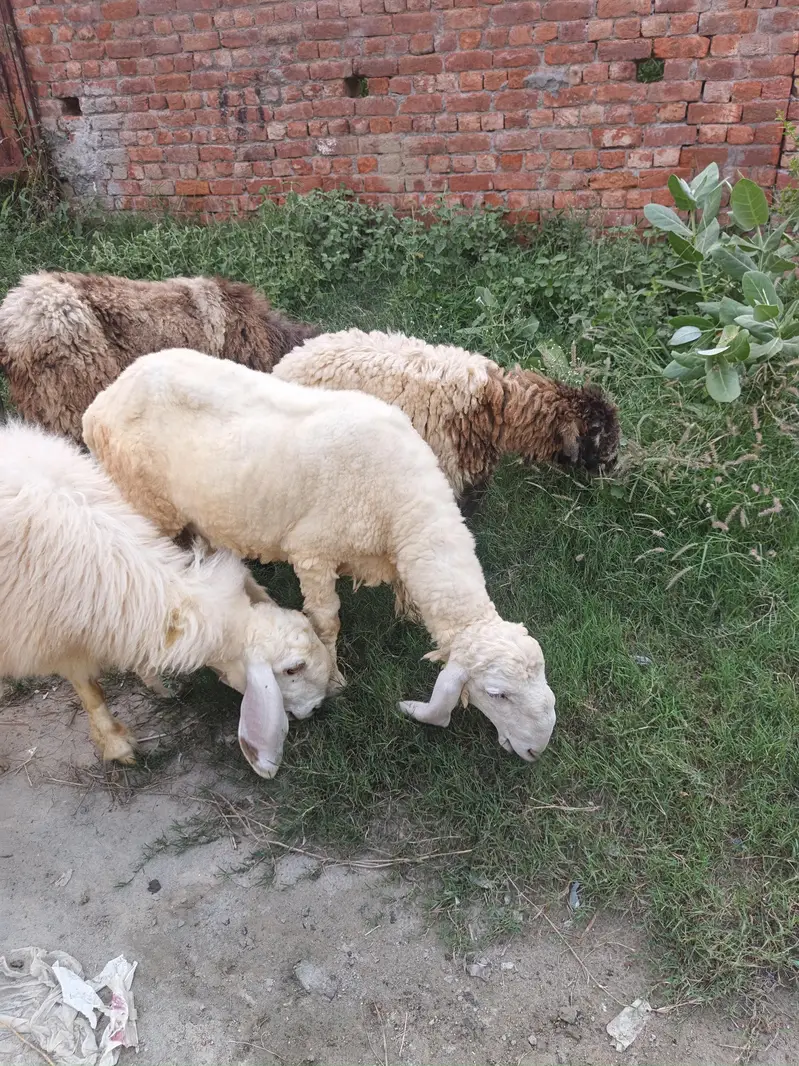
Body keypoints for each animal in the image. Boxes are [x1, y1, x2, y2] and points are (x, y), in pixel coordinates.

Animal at [83, 348, 557, 771]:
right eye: (497, 693)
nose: (538, 750)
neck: (403, 502)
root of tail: (103, 398)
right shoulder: (313, 552)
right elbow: (326, 620)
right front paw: (334, 678)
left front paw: (407, 615)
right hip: (147, 504)